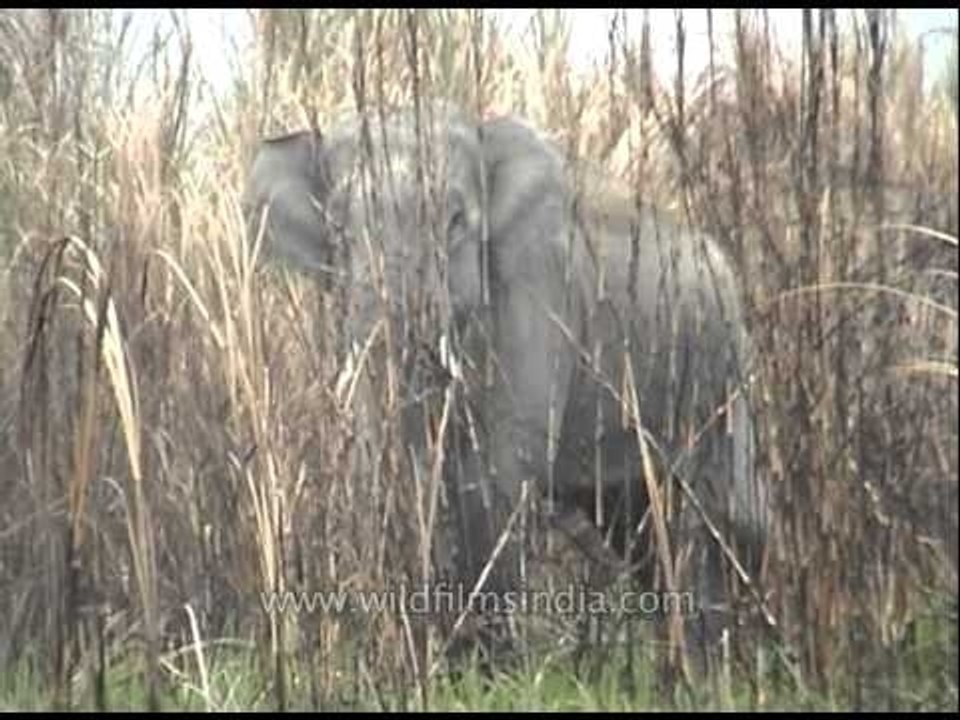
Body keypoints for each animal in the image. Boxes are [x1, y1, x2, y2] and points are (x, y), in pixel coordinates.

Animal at [243, 102, 769, 669]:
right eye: (338, 229)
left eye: (455, 222)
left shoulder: (537, 288)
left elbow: (496, 478)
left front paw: (487, 671)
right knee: (642, 533)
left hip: (723, 373)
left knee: (728, 517)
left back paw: (724, 663)